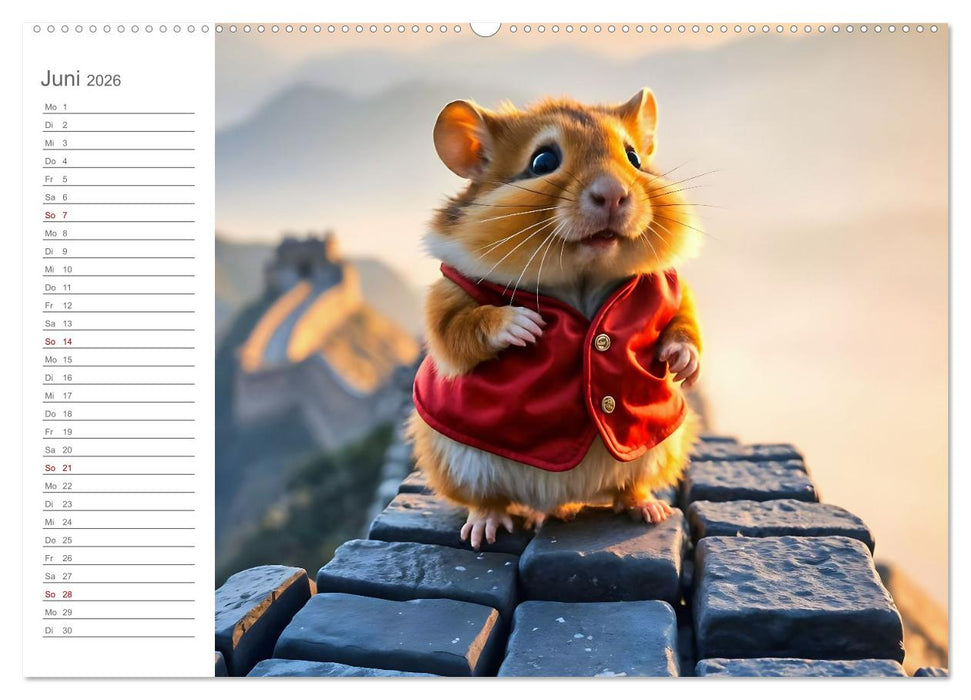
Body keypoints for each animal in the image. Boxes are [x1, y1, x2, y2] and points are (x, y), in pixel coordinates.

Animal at [407, 88, 704, 550]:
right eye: (543, 160)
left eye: (634, 157)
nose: (614, 194)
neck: (581, 277)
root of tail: (561, 501)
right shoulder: (447, 296)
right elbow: (457, 330)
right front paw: (524, 326)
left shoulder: (669, 288)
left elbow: (685, 321)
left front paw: (682, 365)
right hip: (454, 459)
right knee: (486, 500)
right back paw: (485, 529)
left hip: (662, 446)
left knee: (629, 487)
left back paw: (648, 508)